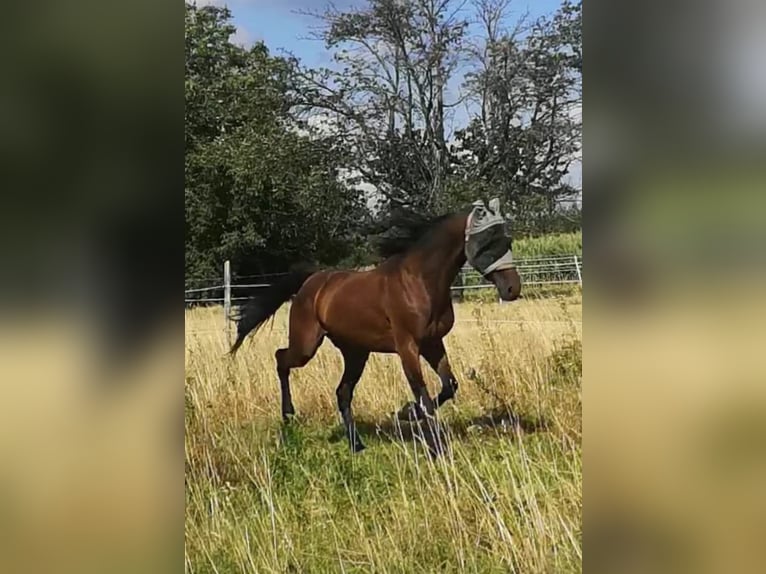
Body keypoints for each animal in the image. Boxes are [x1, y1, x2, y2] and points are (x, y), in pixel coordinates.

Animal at [231, 200, 524, 456]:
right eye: (489, 242)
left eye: (507, 241)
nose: (512, 289)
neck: (419, 281)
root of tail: (313, 280)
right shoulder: (407, 347)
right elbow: (423, 395)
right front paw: (434, 448)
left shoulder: (432, 343)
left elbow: (449, 385)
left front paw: (406, 413)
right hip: (306, 344)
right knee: (281, 358)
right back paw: (289, 416)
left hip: (355, 352)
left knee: (342, 392)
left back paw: (356, 445)